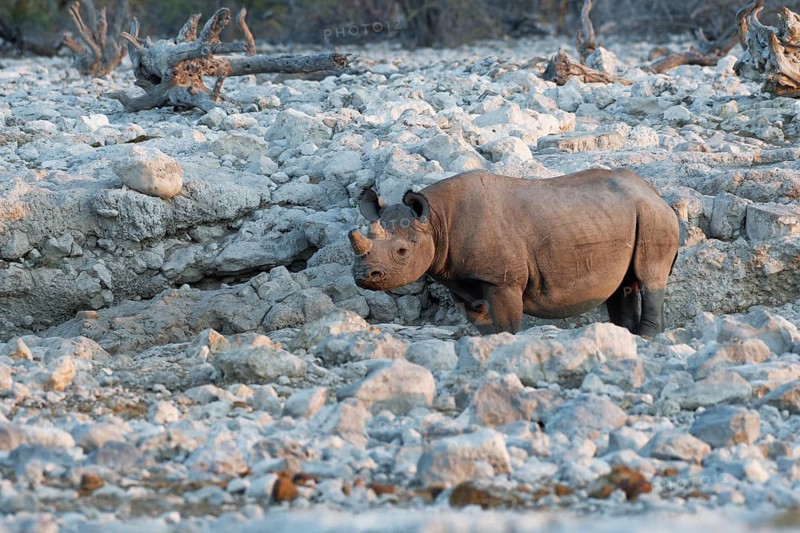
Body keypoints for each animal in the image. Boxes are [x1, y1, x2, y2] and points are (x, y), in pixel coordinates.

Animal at [349, 169, 679, 337]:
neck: (436, 221)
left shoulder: (502, 280)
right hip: (627, 214)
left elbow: (508, 324)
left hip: (652, 216)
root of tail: (655, 193)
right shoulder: (461, 280)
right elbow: (482, 323)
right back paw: (627, 334)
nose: (364, 276)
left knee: (650, 277)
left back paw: (647, 337)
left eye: (402, 251)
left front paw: (508, 343)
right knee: (624, 285)